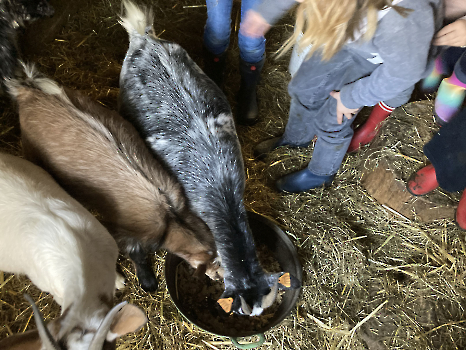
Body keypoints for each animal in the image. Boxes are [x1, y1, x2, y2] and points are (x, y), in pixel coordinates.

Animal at [10, 64, 222, 292]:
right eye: (212, 264)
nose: (219, 277)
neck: (170, 216)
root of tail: (27, 91)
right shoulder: (123, 230)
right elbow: (136, 254)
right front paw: (148, 282)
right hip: (31, 151)